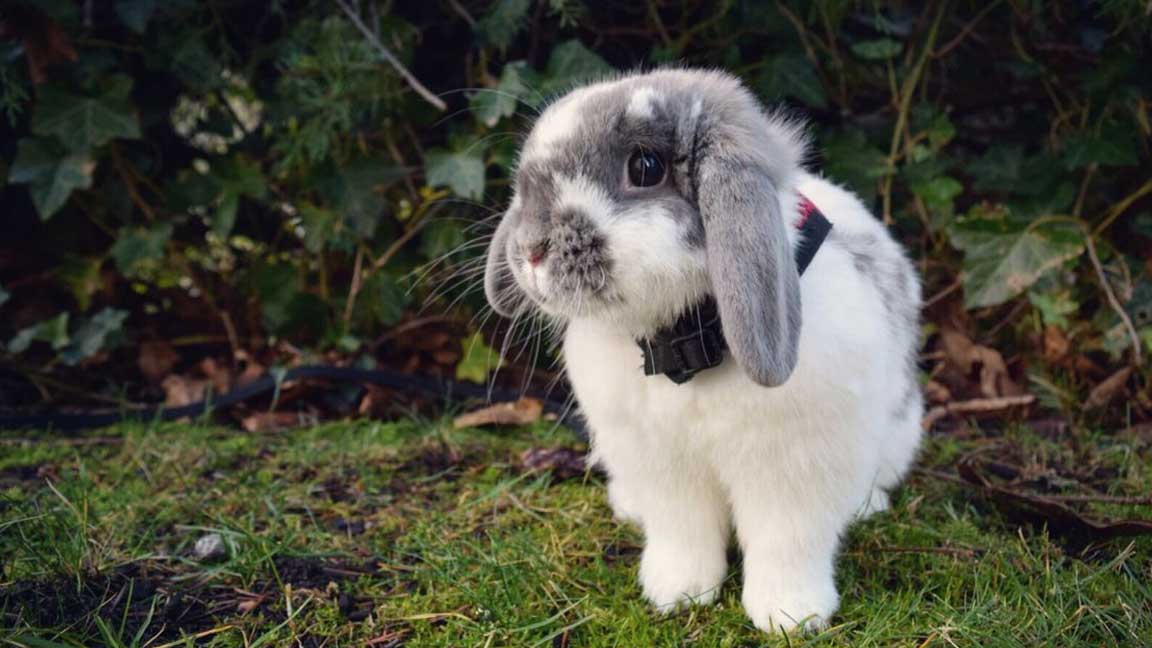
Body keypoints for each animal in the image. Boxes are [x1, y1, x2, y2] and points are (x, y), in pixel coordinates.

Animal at [481, 68, 921, 631]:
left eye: (645, 167)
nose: (531, 249)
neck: (688, 346)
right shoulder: (661, 466)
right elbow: (681, 532)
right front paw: (678, 593)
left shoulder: (794, 468)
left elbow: (787, 542)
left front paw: (790, 615)